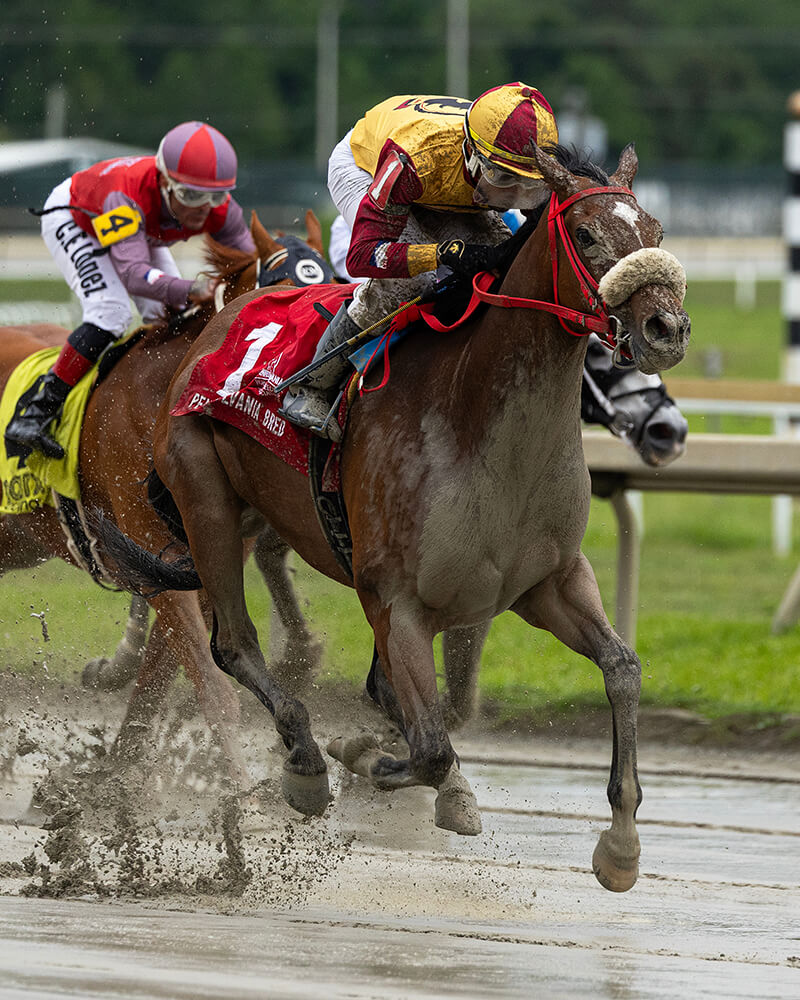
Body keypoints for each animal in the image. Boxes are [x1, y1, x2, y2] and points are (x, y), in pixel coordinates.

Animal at [0, 211, 331, 783]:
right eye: (287, 298)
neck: (165, 399)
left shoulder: (191, 569)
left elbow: (156, 685)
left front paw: (117, 782)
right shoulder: (151, 554)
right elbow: (212, 686)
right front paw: (241, 796)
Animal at [98, 142, 690, 892]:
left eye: (655, 230)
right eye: (585, 235)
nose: (666, 328)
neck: (478, 427)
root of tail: (226, 314)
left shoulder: (548, 582)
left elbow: (622, 668)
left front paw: (620, 844)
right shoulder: (396, 600)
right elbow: (429, 743)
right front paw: (369, 761)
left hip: (255, 517)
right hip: (205, 499)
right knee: (230, 642)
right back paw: (304, 765)